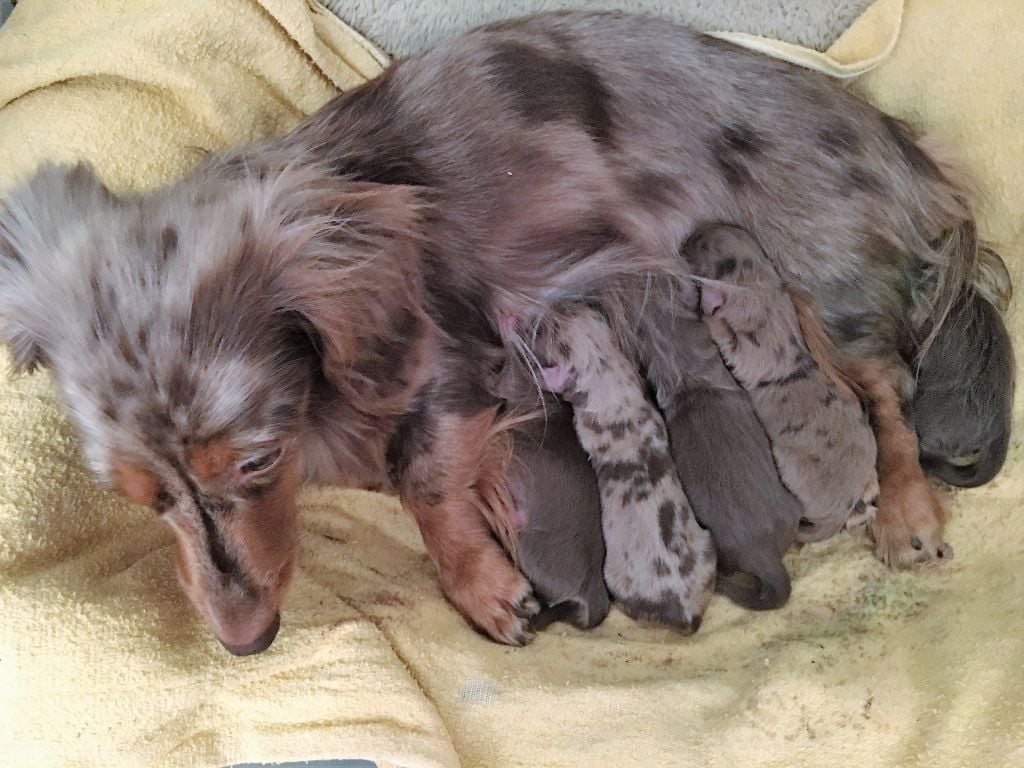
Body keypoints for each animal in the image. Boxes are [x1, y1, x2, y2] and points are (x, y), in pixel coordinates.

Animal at [532, 307, 716, 630]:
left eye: (553, 332)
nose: (549, 310)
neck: (609, 375)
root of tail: (686, 613)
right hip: (708, 549)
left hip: (617, 581)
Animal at [684, 225, 884, 548]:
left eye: (701, 244)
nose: (688, 237)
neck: (755, 279)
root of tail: (838, 512)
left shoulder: (748, 342)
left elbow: (725, 334)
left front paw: (708, 314)